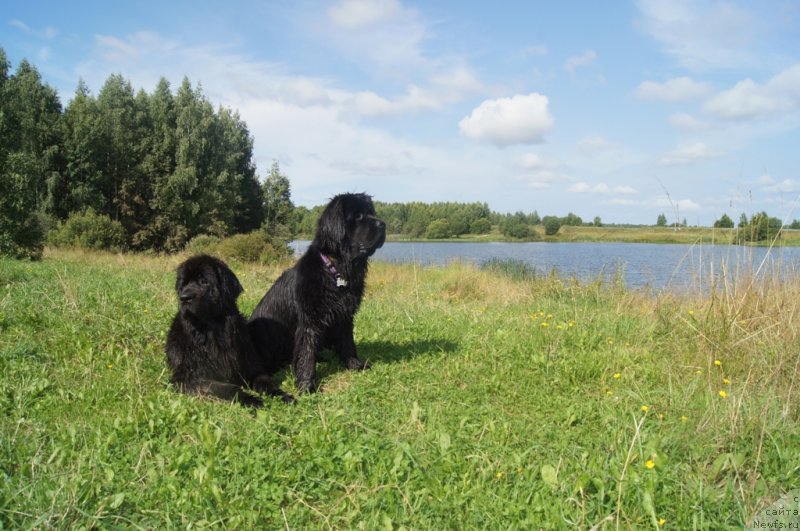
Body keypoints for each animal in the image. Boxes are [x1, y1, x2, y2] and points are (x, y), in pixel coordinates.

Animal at [166, 255, 294, 408]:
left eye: (203, 281)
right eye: (183, 284)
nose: (184, 298)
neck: (211, 332)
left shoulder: (250, 366)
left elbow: (265, 380)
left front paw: (282, 395)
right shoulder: (187, 377)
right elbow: (226, 387)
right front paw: (252, 399)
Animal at [252, 193, 386, 392]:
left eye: (371, 213)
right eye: (358, 216)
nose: (383, 224)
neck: (335, 272)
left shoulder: (345, 316)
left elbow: (348, 342)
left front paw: (355, 364)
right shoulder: (309, 320)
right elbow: (306, 352)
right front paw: (306, 385)